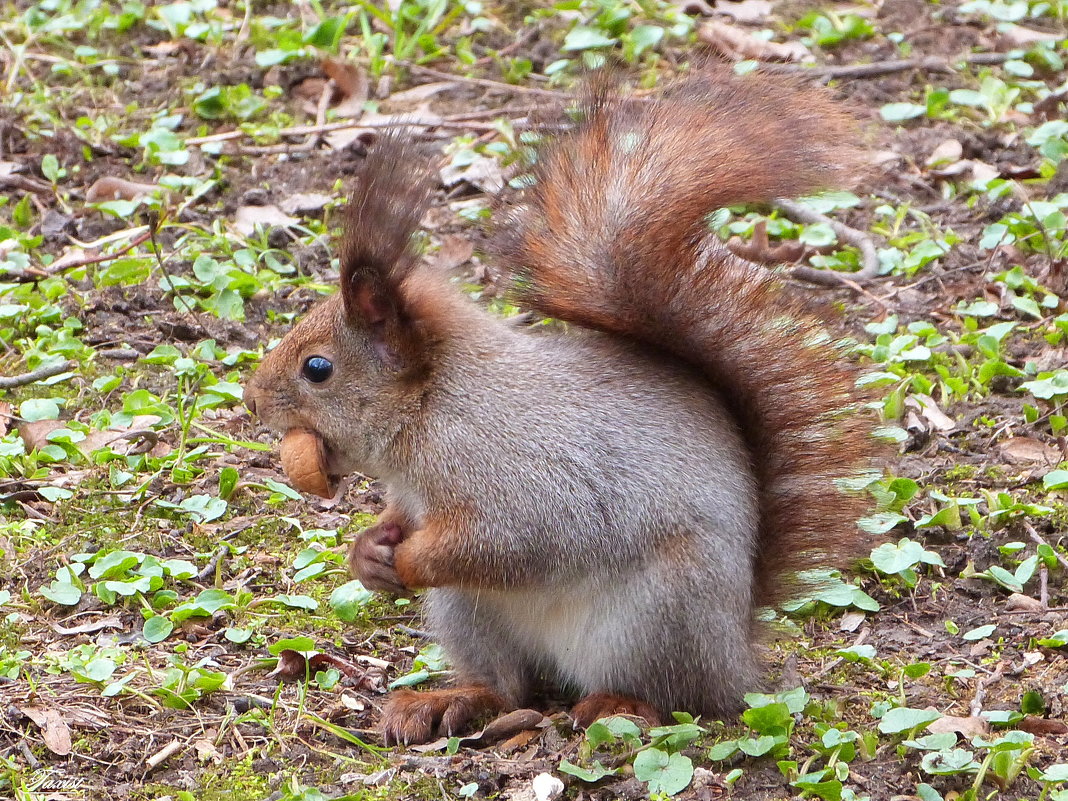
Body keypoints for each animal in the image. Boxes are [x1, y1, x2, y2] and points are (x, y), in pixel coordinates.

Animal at [245, 72, 880, 751]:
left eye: (317, 369)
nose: (251, 399)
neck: (432, 410)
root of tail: (735, 652)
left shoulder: (525, 479)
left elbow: (512, 541)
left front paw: (410, 558)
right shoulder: (414, 496)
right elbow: (396, 522)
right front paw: (368, 553)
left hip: (659, 614)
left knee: (674, 699)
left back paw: (617, 707)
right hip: (471, 614)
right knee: (510, 688)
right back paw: (448, 700)